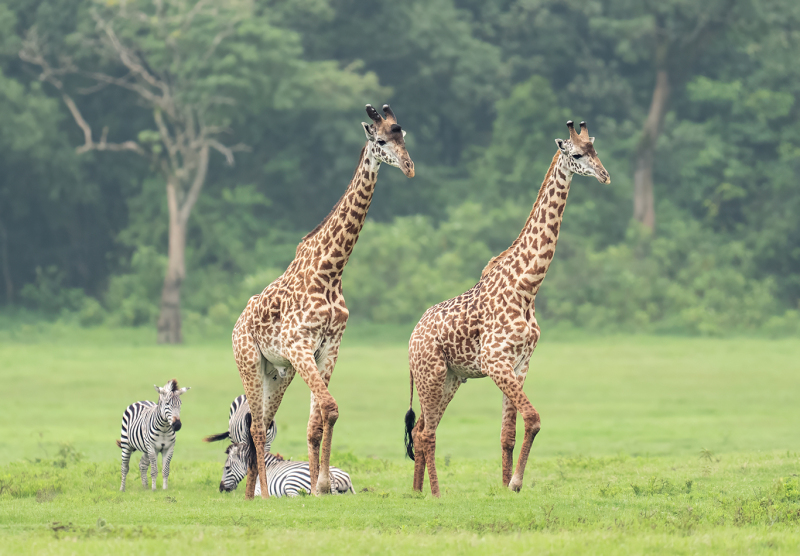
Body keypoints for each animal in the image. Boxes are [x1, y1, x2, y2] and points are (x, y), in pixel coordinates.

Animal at [233, 104, 414, 499]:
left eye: (403, 137)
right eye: (380, 141)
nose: (409, 167)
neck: (331, 270)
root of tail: (238, 322)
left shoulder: (328, 347)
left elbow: (319, 419)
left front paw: (320, 486)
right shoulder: (299, 343)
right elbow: (329, 408)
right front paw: (323, 484)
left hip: (278, 372)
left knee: (263, 422)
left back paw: (251, 492)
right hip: (249, 361)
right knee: (256, 427)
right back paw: (263, 494)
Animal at [403, 121, 610, 497]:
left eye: (596, 151)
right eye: (576, 155)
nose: (604, 175)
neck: (527, 287)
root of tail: (411, 338)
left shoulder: (519, 364)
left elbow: (507, 434)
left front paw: (503, 486)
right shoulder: (495, 361)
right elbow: (534, 418)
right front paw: (514, 483)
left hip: (450, 379)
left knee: (422, 429)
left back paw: (417, 491)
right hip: (431, 374)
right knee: (425, 433)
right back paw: (436, 494)